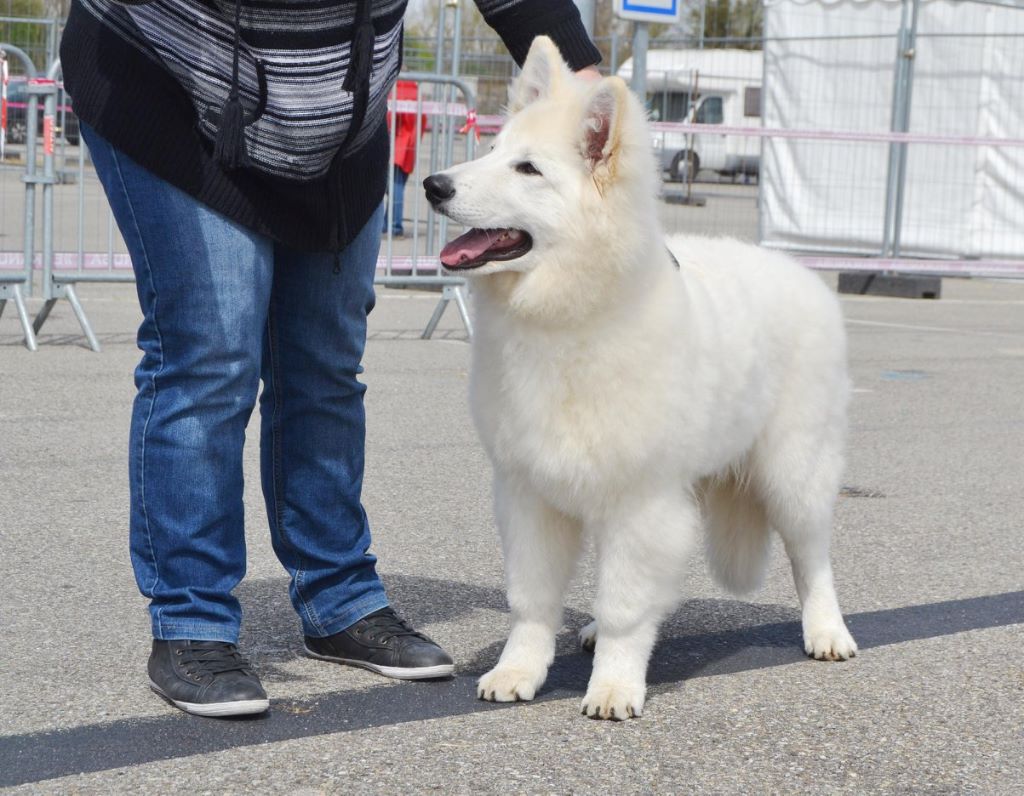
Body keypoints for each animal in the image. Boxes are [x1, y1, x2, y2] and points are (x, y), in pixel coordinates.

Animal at [423, 36, 857, 720]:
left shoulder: (641, 501)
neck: (573, 318)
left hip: (795, 474)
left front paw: (614, 684)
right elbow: (531, 601)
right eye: (491, 151)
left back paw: (827, 631)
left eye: (527, 170)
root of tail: (801, 272)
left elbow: (628, 606)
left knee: (811, 559)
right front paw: (518, 671)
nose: (433, 185)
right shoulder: (529, 495)